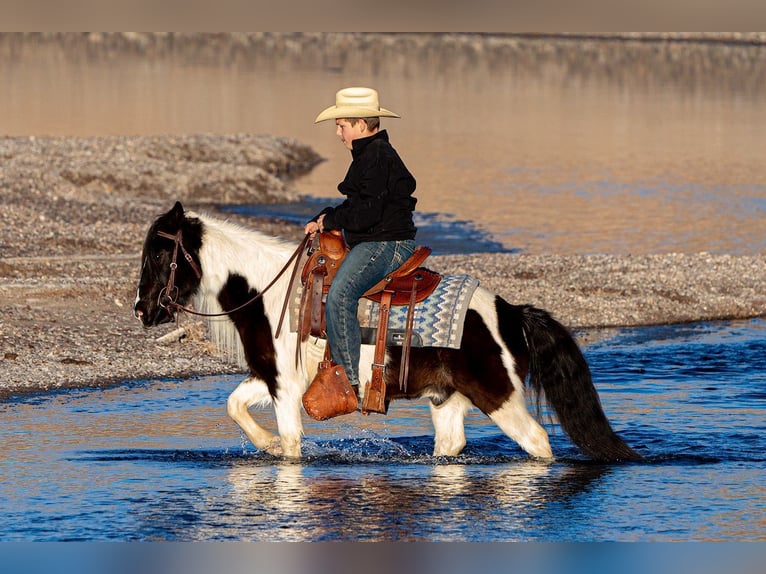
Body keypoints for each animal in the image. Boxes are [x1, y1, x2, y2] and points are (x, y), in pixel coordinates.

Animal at [134, 202, 640, 464]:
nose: (142, 310)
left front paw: (278, 449)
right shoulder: (269, 378)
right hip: (447, 400)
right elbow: (234, 405)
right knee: (451, 447)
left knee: (537, 442)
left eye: (159, 253)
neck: (267, 292)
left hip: (499, 396)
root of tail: (510, 312)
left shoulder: (286, 389)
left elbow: (293, 448)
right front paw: (266, 443)